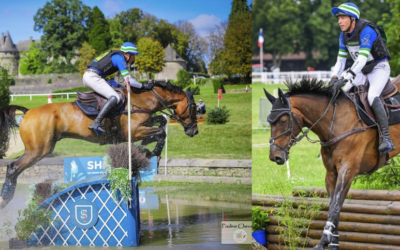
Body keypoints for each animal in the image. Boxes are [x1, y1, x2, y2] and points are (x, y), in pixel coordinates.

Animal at [0, 80, 199, 209]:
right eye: (195, 108)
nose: (194, 131)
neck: (141, 101)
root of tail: (27, 112)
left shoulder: (143, 125)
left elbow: (161, 123)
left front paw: (148, 146)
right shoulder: (133, 132)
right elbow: (160, 132)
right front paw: (150, 151)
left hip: (40, 149)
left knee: (14, 168)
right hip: (38, 150)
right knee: (13, 168)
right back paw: (6, 199)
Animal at [266, 77, 400, 249]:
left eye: (283, 121)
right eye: (270, 123)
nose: (275, 157)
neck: (335, 122)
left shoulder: (347, 171)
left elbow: (335, 208)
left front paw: (323, 242)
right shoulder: (331, 174)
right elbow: (334, 206)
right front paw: (333, 242)